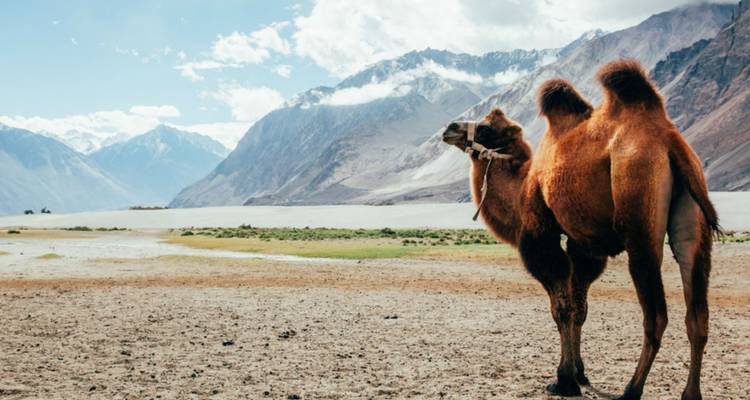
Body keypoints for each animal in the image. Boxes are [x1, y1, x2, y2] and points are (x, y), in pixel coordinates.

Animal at [441, 60, 718, 400]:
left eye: (484, 128)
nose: (450, 128)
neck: (522, 184)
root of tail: (668, 140)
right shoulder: (582, 245)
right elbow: (579, 307)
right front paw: (580, 373)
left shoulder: (541, 234)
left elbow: (561, 309)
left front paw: (564, 380)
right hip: (693, 218)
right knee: (697, 314)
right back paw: (690, 393)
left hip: (638, 206)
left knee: (656, 315)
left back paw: (631, 390)